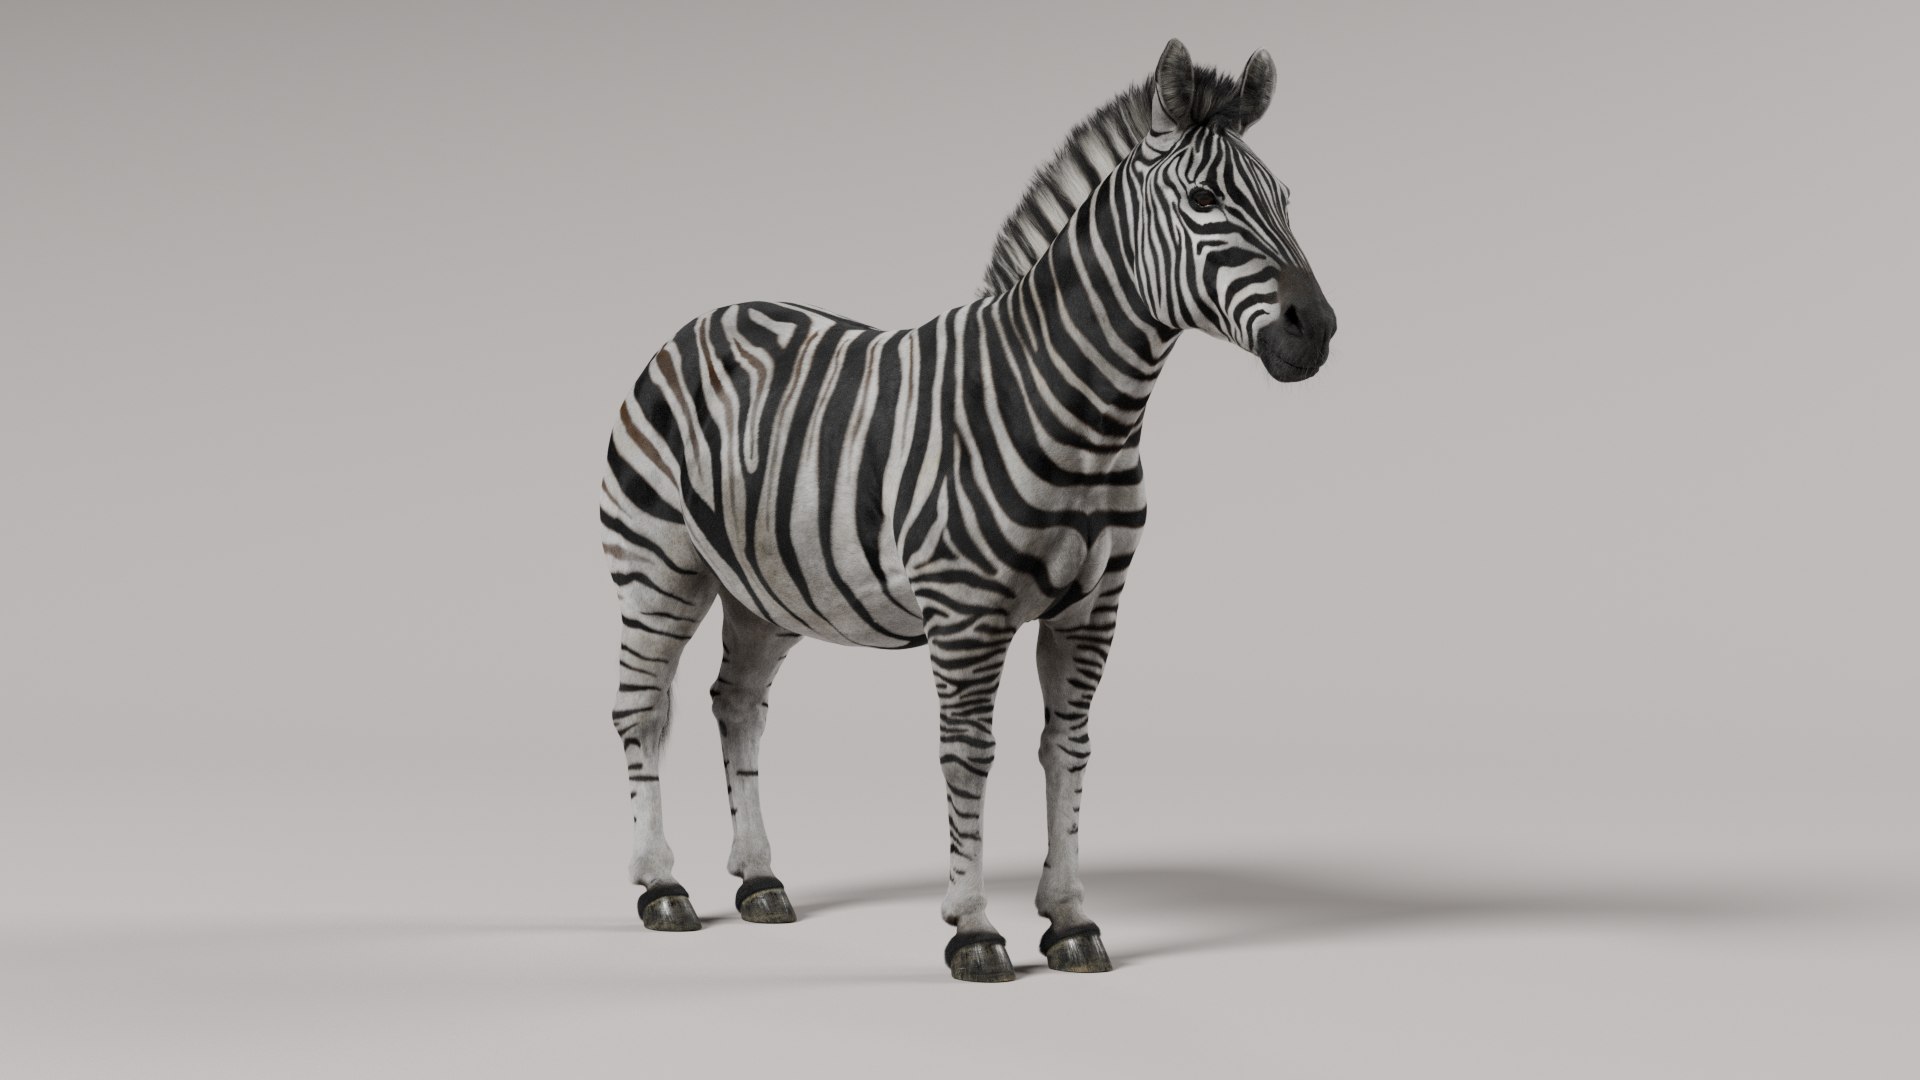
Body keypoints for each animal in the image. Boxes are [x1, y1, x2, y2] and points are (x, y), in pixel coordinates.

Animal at [600, 39, 1336, 982]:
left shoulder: (1093, 611)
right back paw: (662, 888)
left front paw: (1070, 920)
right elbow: (969, 756)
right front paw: (975, 928)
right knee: (644, 708)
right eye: (1204, 201)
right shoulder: (966, 611)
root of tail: (704, 318)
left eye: (1285, 199)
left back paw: (760, 881)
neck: (1085, 411)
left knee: (737, 704)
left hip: (763, 588)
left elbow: (1066, 748)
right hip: (659, 563)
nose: (1317, 329)